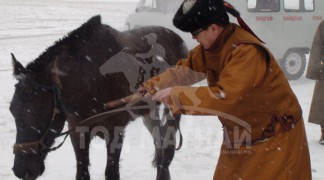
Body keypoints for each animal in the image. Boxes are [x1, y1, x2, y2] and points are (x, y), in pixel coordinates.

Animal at [9, 15, 187, 180]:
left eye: (40, 111)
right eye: (12, 110)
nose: (21, 170)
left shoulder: (115, 130)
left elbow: (111, 173)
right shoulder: (78, 131)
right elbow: (82, 173)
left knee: (168, 149)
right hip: (149, 110)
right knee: (160, 144)